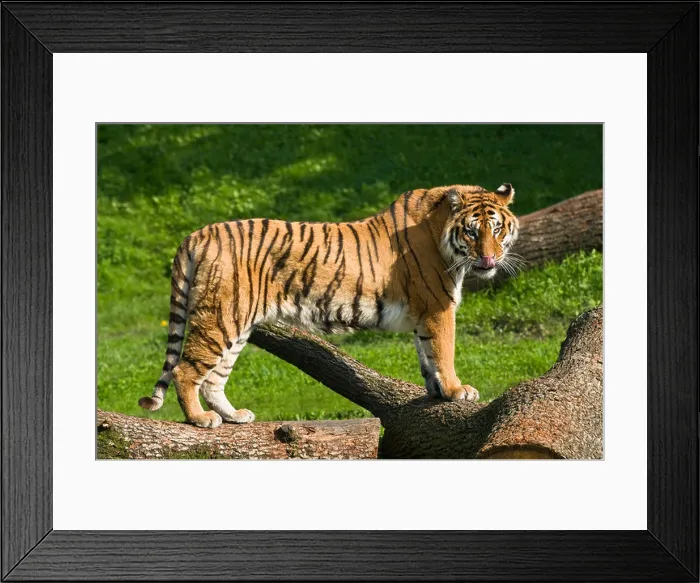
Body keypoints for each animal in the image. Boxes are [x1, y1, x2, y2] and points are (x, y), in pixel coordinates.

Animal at [139, 183, 519, 428]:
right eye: (472, 231)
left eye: (497, 229)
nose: (489, 258)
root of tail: (197, 234)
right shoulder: (438, 307)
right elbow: (444, 351)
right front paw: (457, 390)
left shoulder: (424, 313)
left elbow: (427, 355)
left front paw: (438, 392)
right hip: (221, 317)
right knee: (185, 370)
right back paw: (200, 419)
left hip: (238, 323)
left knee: (214, 377)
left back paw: (234, 416)